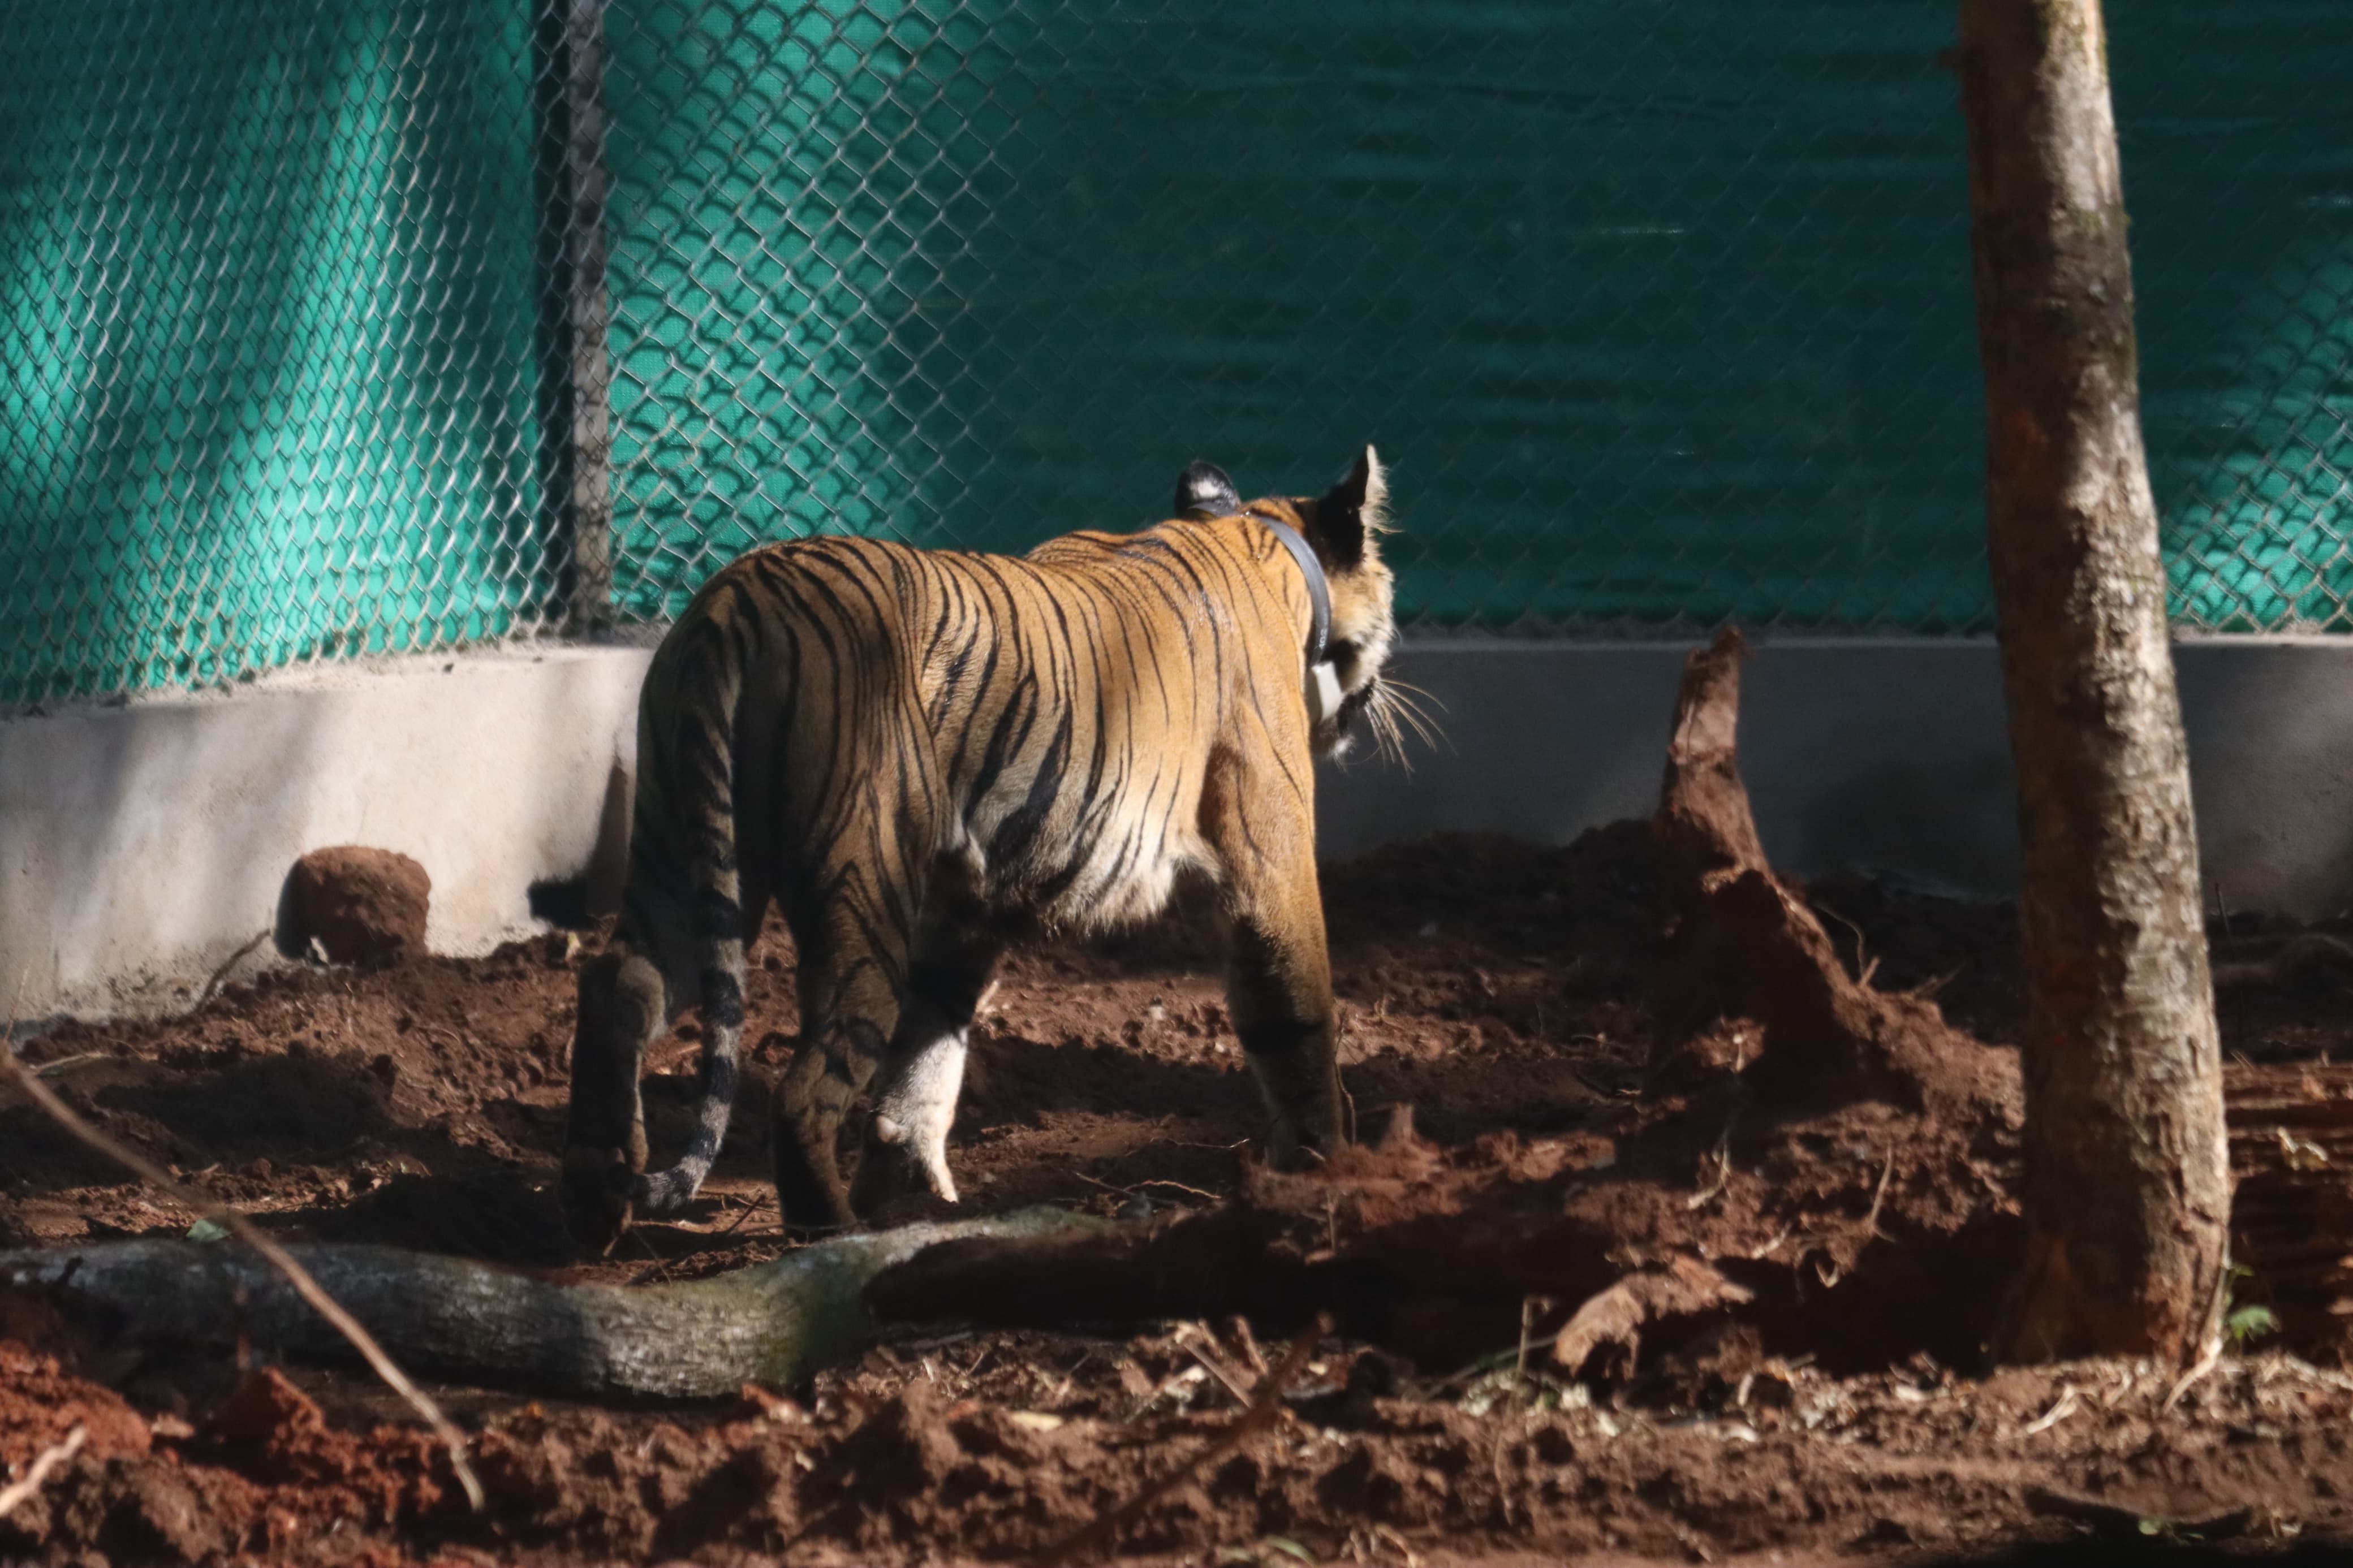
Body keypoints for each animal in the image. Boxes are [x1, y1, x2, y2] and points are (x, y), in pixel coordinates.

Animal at [560, 451, 1402, 1250]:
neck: (1254, 533)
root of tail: (735, 596)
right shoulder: (1268, 866)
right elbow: (1296, 1019)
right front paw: (1326, 1168)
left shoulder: (964, 903)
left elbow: (929, 1049)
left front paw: (911, 1184)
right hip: (860, 885)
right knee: (803, 1083)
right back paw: (830, 1231)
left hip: (678, 846)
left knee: (617, 988)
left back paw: (600, 1202)